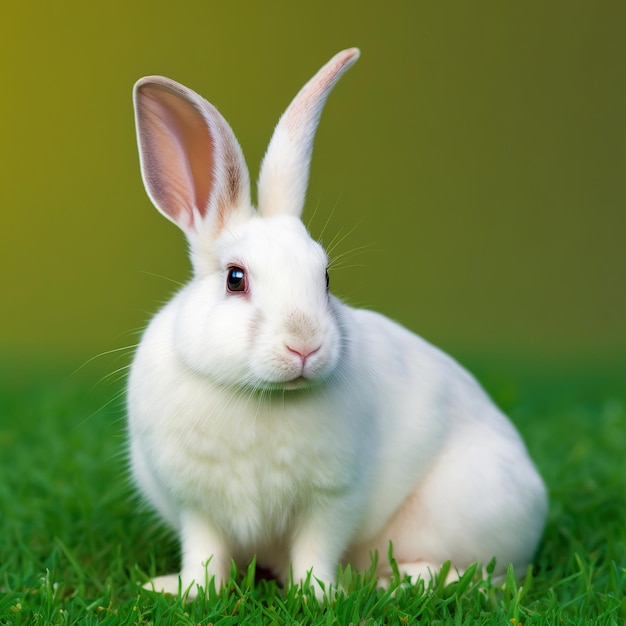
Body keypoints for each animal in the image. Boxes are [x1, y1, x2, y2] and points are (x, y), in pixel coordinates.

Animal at [128, 47, 544, 596]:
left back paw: (405, 581)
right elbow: (206, 555)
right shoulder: (195, 504)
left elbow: (316, 548)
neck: (263, 397)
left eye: (325, 277)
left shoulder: (334, 498)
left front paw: (317, 595)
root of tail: (536, 497)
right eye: (235, 278)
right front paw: (185, 592)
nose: (304, 346)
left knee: (491, 574)